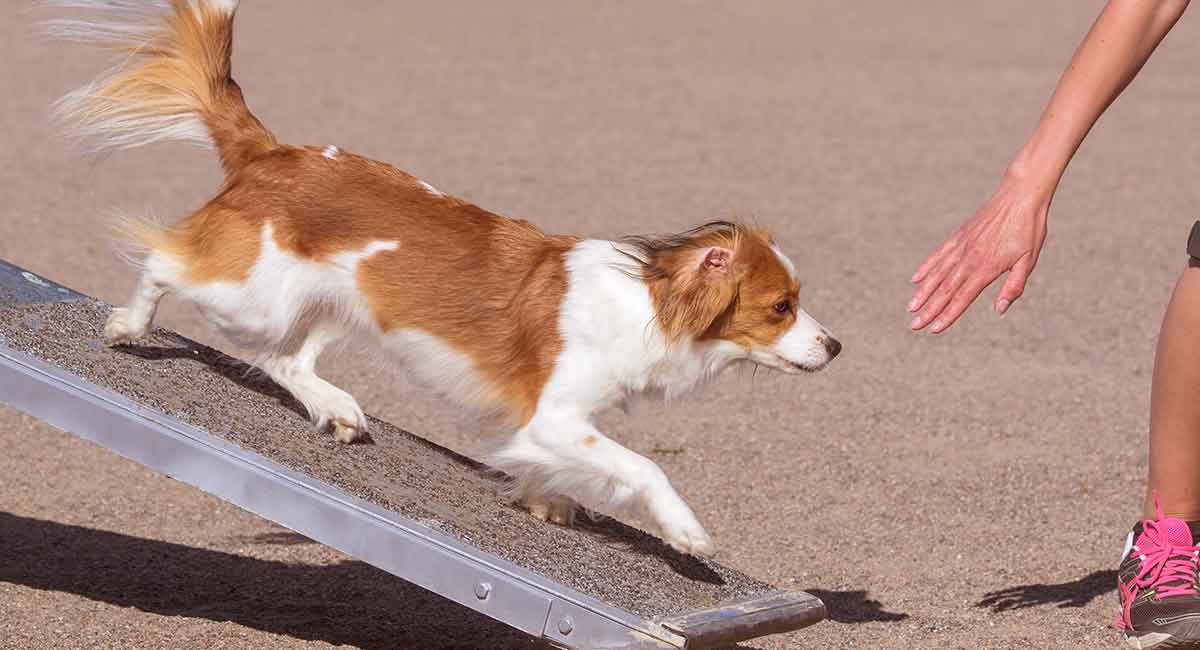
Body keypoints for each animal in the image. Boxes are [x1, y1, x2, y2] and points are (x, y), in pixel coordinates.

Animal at [46, 1, 835, 561]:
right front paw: (686, 531)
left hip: (334, 303)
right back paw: (129, 327)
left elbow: (562, 466)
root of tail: (272, 152)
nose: (835, 348)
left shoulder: (553, 423)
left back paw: (336, 409)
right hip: (251, 295)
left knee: (284, 361)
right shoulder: (557, 415)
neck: (648, 298)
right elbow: (643, 468)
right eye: (781, 306)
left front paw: (546, 501)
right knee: (163, 265)